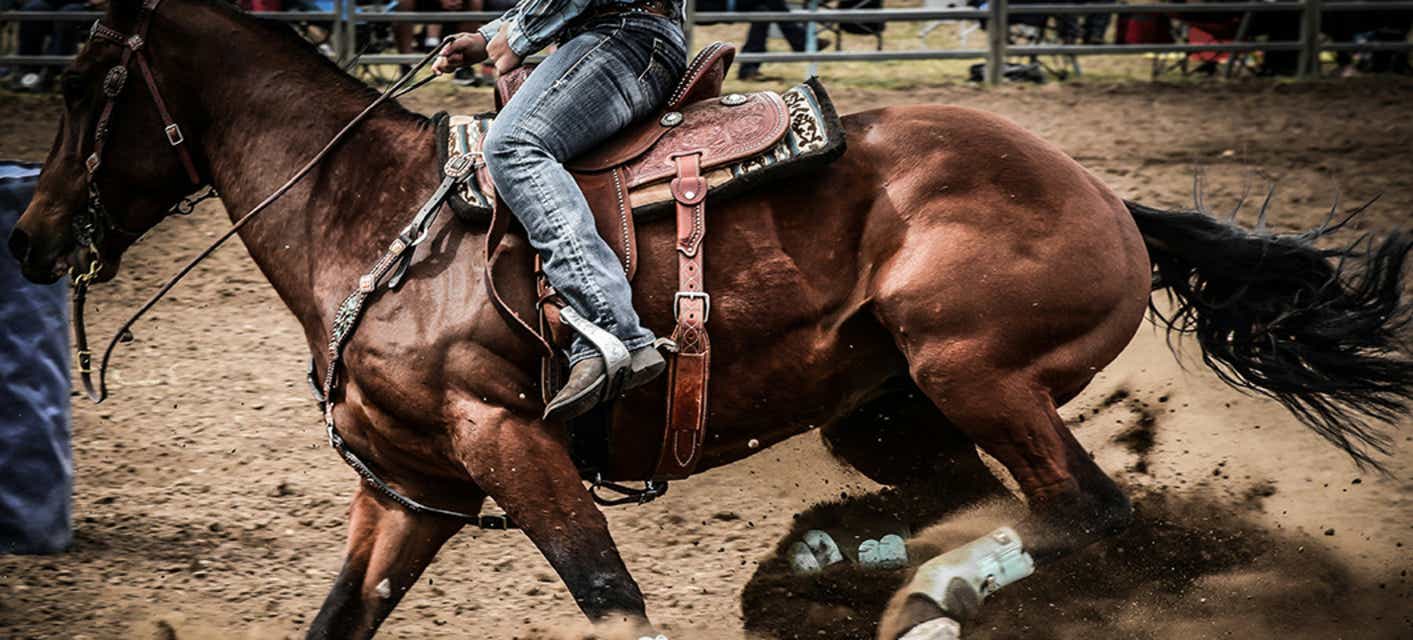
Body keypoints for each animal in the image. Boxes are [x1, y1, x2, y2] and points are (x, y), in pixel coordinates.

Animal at [8, 0, 1412, 637]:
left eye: (80, 85)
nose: (26, 239)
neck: (374, 215)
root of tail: (1109, 196)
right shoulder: (413, 487)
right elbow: (337, 619)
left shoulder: (507, 444)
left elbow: (609, 598)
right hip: (891, 409)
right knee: (1003, 501)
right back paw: (845, 562)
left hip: (974, 366)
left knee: (1090, 508)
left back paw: (925, 585)